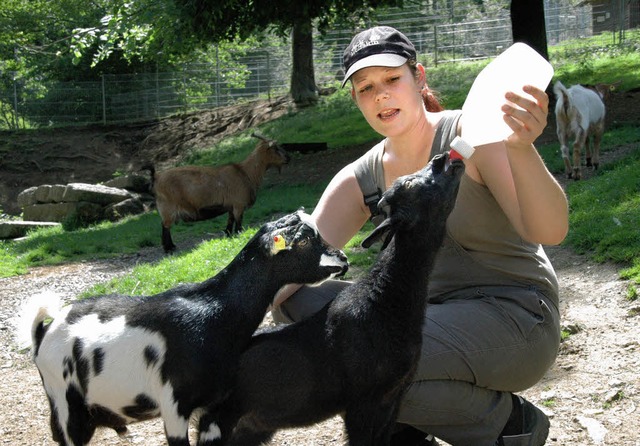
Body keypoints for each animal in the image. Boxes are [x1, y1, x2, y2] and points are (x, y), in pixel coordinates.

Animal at [146, 133, 288, 251]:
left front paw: (229, 235)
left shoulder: (231, 206)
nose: (289, 158)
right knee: (165, 226)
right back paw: (169, 248)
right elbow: (238, 223)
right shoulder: (238, 205)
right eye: (276, 148)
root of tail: (156, 177)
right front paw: (240, 235)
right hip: (168, 208)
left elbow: (230, 222)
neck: (245, 172)